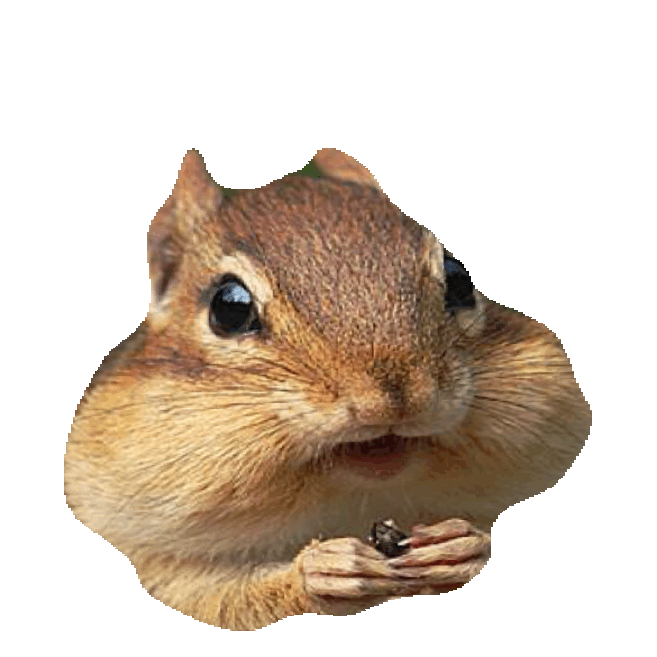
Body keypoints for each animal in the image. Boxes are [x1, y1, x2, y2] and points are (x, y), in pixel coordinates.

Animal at [64, 148, 591, 630]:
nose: (393, 398)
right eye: (228, 307)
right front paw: (321, 571)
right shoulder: (160, 563)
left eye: (460, 280)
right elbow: (222, 598)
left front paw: (461, 544)